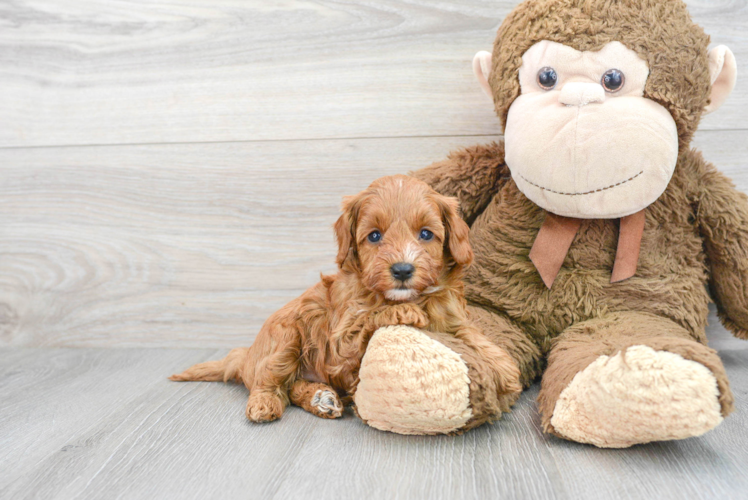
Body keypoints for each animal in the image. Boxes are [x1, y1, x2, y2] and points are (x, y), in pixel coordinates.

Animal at [169, 176, 520, 422]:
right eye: (374, 236)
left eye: (425, 234)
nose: (402, 269)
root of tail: (247, 357)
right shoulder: (340, 341)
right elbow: (369, 318)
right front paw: (402, 312)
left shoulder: (451, 317)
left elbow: (473, 336)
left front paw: (505, 370)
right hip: (286, 335)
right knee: (269, 380)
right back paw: (265, 403)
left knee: (293, 386)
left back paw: (320, 399)